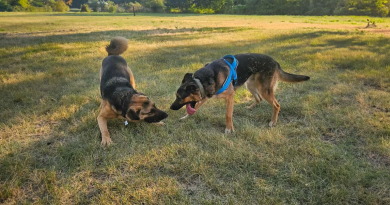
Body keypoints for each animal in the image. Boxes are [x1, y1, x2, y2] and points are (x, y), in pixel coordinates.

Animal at [171, 53, 310, 133]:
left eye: (179, 97)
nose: (171, 108)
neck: (201, 81)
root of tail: (276, 62)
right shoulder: (206, 96)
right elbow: (196, 107)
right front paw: (185, 117)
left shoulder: (230, 96)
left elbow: (228, 115)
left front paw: (228, 129)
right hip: (251, 85)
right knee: (259, 99)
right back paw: (251, 107)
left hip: (264, 90)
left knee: (276, 105)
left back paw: (273, 122)